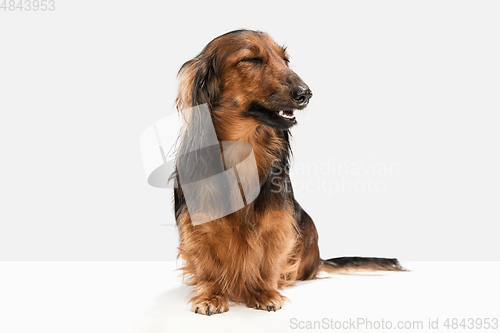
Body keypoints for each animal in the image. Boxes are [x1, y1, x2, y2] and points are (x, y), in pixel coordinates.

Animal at [174, 29, 404, 316]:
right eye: (251, 59)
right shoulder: (199, 223)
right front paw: (210, 294)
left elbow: (268, 257)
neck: (242, 153)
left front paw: (264, 292)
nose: (305, 93)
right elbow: (205, 260)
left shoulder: (277, 222)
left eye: (285, 60)